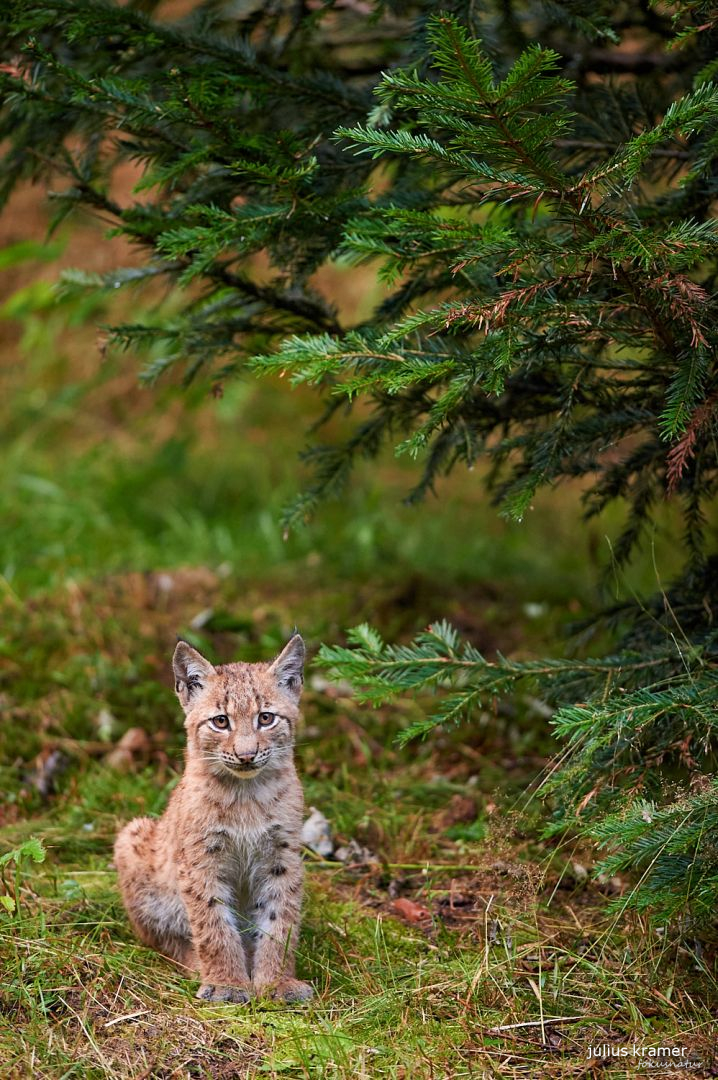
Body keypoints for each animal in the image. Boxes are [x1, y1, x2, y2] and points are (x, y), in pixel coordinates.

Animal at [114, 630, 310, 1002]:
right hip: (132, 836)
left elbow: (280, 921)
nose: (246, 755)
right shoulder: (201, 859)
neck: (246, 793)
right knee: (158, 938)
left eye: (266, 718)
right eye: (221, 722)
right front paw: (227, 984)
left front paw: (275, 983)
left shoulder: (283, 856)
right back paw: (196, 965)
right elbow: (213, 923)